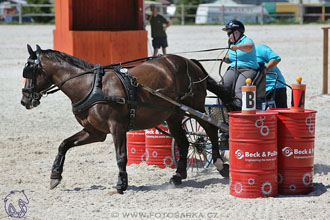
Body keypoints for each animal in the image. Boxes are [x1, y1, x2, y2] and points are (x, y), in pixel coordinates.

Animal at [21, 44, 232, 194]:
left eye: (30, 71)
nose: (25, 100)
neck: (91, 86)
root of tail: (190, 62)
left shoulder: (117, 127)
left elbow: (121, 156)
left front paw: (121, 183)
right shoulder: (95, 132)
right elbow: (64, 144)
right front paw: (55, 175)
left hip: (195, 107)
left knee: (211, 130)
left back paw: (220, 164)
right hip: (173, 114)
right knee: (183, 142)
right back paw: (179, 175)